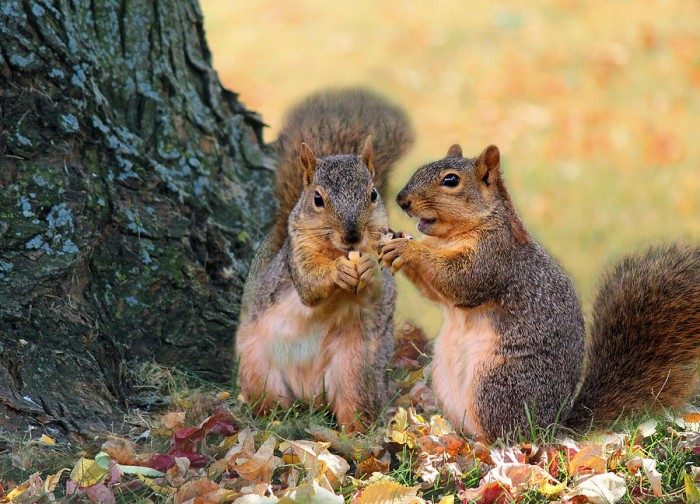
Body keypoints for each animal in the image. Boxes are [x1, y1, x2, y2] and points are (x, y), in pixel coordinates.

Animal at [235, 88, 412, 428]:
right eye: (318, 199)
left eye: (372, 195)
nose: (353, 235)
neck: (338, 252)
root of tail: (309, 392)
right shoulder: (295, 257)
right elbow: (309, 286)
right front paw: (336, 274)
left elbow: (377, 290)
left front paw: (366, 269)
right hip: (257, 367)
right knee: (270, 403)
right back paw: (274, 420)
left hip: (357, 368)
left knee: (354, 405)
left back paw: (354, 431)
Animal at [382, 143, 700, 440]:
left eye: (451, 180)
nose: (401, 200)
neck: (449, 238)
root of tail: (551, 427)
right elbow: (435, 292)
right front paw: (396, 240)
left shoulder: (495, 257)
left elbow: (462, 281)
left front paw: (408, 250)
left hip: (499, 383)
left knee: (503, 435)